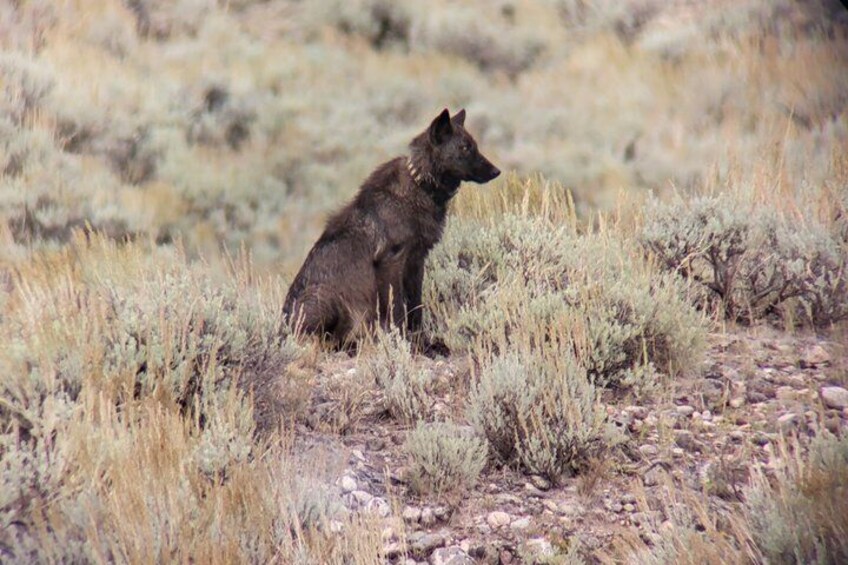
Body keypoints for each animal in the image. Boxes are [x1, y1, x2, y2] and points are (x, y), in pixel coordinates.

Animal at [283, 108, 500, 349]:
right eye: (464, 148)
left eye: (474, 145)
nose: (496, 171)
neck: (420, 185)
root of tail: (281, 331)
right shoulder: (391, 262)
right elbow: (397, 311)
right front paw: (405, 344)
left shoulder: (416, 262)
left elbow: (415, 309)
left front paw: (423, 343)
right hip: (324, 298)